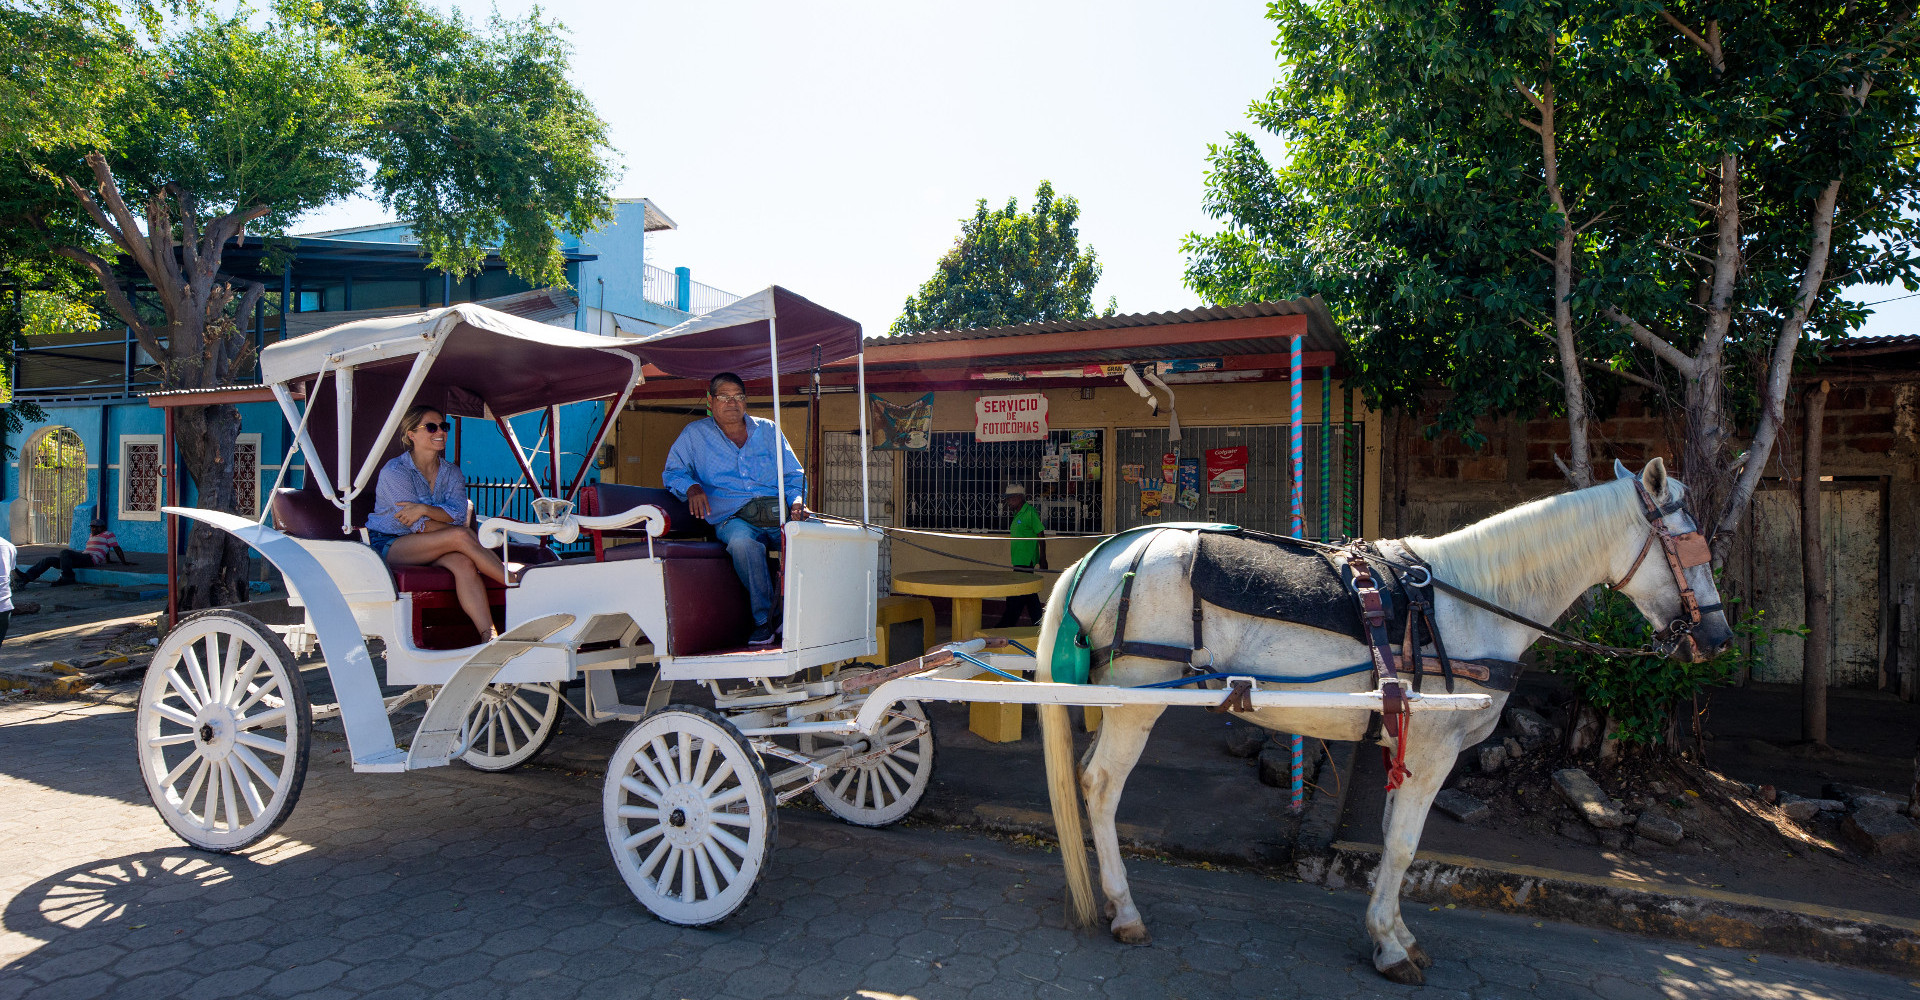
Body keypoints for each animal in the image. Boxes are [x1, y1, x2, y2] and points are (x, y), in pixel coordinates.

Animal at [1044, 458, 1735, 982]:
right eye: (1689, 543)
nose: (1720, 637)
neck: (1469, 601)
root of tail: (1108, 555)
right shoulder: (1433, 748)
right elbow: (1404, 844)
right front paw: (1390, 946)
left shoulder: (1402, 738)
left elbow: (1388, 836)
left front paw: (1395, 930)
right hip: (1138, 701)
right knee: (1102, 786)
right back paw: (1124, 909)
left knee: (1087, 775)